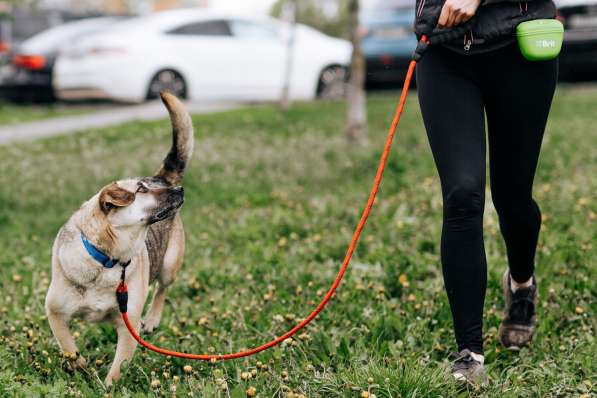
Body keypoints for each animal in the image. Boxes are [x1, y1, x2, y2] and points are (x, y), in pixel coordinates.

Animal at [44, 91, 193, 384]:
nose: (179, 190)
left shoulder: (128, 323)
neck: (107, 259)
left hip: (169, 265)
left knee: (162, 288)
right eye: (141, 190)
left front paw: (107, 386)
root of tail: (160, 176)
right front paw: (81, 367)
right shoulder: (55, 312)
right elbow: (69, 348)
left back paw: (152, 319)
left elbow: (117, 369)